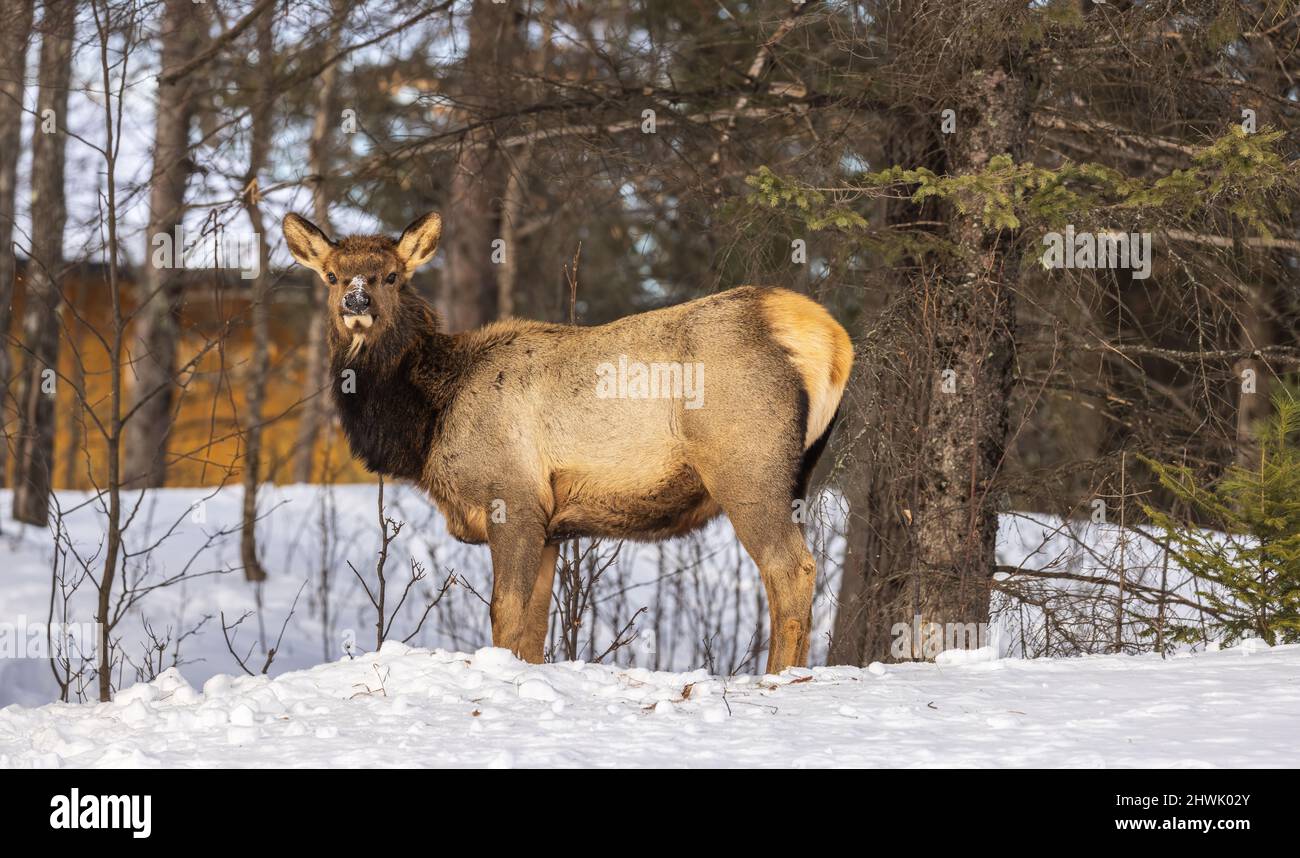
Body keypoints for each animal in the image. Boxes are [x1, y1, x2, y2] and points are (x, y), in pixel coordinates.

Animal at [283, 210, 852, 676]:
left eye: (393, 276)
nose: (356, 301)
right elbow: (534, 630)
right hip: (797, 474)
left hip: (746, 466)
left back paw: (779, 676)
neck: (427, 422)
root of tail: (832, 339)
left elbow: (505, 616)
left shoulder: (511, 498)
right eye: (332, 276)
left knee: (792, 568)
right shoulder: (551, 525)